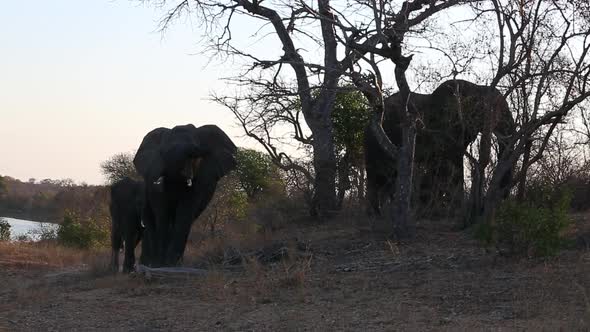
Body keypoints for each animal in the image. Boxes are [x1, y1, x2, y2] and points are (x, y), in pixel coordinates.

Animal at [134, 124, 238, 268]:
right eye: (162, 153)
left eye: (193, 155)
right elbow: (162, 212)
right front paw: (160, 264)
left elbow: (185, 211)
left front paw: (171, 264)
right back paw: (148, 262)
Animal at [368, 79, 516, 217]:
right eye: (491, 110)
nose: (502, 199)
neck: (476, 87)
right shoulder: (445, 128)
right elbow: (451, 162)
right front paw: (454, 210)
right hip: (376, 140)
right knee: (378, 174)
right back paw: (378, 213)